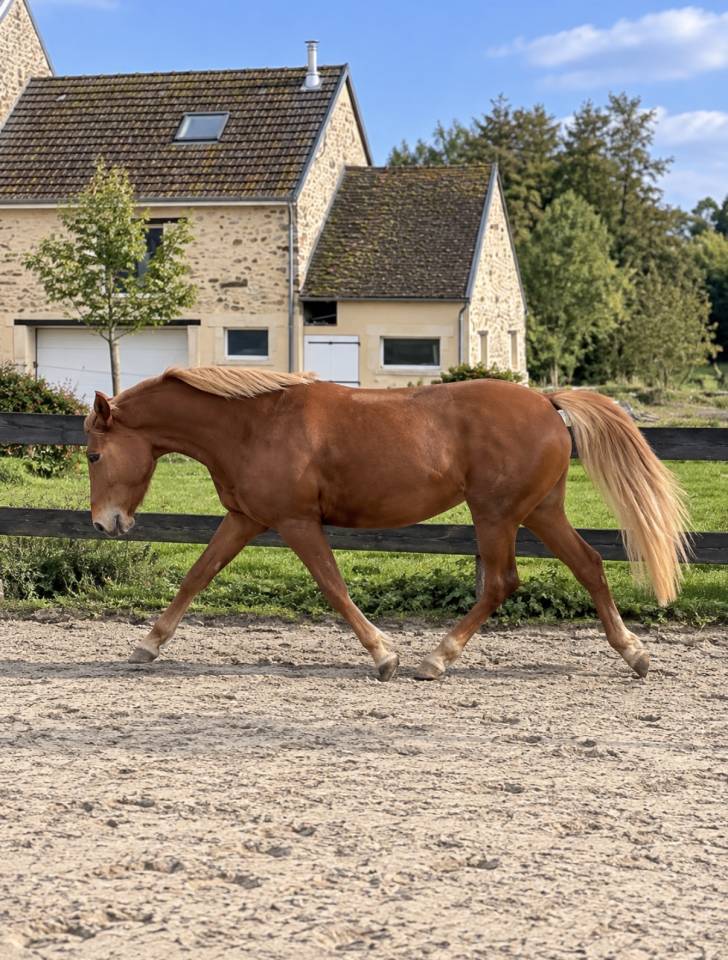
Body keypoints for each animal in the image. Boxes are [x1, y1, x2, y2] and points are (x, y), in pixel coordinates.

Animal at [84, 366, 688, 682]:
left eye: (92, 454)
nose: (104, 524)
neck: (253, 424)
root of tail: (547, 401)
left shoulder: (296, 522)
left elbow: (333, 586)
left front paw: (386, 656)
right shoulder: (245, 519)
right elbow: (198, 576)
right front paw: (146, 646)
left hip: (495, 514)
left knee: (501, 582)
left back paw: (435, 659)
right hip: (541, 511)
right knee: (590, 565)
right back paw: (634, 653)